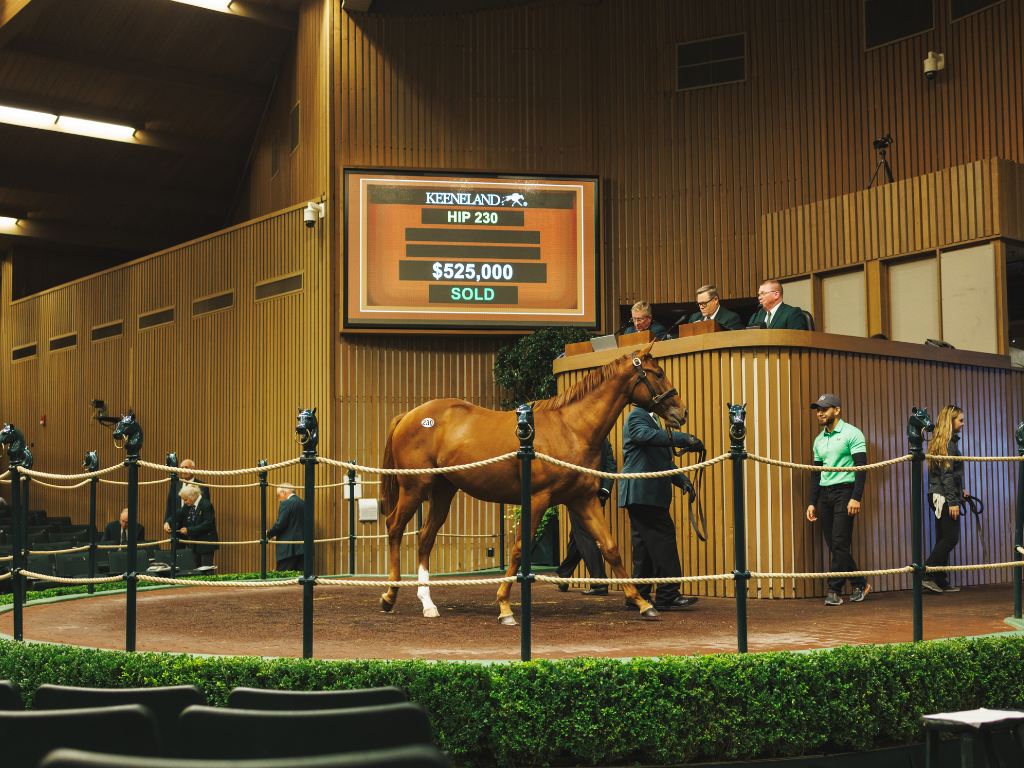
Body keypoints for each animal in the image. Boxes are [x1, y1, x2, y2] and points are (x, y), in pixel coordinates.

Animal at [378, 342, 688, 626]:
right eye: (658, 373)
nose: (681, 413)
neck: (572, 428)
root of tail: (409, 416)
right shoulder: (538, 499)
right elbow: (519, 548)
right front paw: (504, 606)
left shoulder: (583, 499)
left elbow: (609, 547)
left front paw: (642, 603)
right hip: (415, 487)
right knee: (395, 527)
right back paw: (390, 596)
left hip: (443, 490)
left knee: (425, 537)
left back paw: (427, 603)